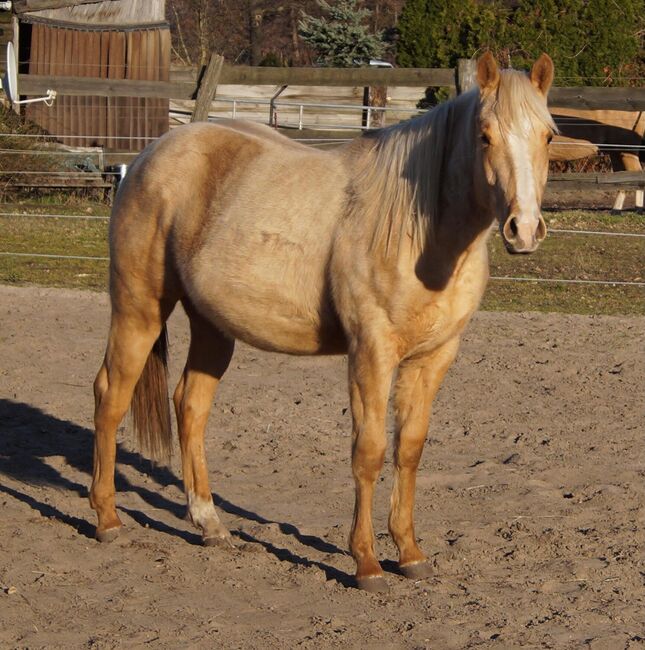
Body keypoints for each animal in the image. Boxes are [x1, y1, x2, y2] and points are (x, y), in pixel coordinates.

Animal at [89, 53, 552, 588]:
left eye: (548, 135)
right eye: (484, 135)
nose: (524, 229)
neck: (421, 232)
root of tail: (151, 154)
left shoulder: (434, 357)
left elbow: (409, 449)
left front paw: (410, 553)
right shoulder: (371, 352)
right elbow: (369, 452)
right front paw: (366, 562)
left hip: (212, 325)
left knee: (190, 405)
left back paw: (209, 524)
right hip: (138, 308)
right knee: (111, 396)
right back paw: (107, 519)